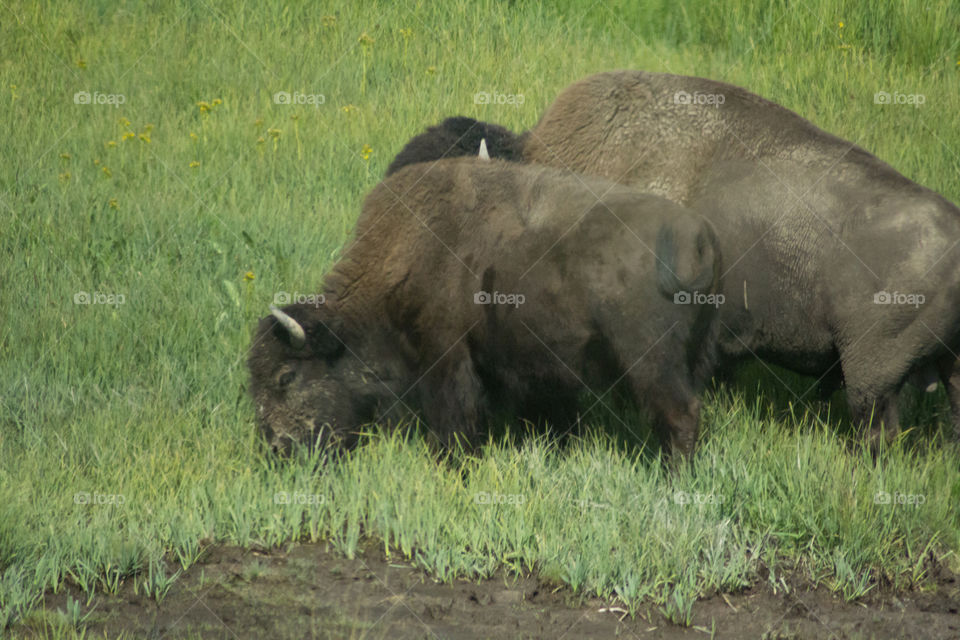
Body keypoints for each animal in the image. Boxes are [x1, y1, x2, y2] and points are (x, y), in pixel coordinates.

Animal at [249, 157, 721, 456]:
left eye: (286, 376)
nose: (277, 448)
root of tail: (699, 235)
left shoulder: (446, 356)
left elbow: (455, 415)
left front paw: (454, 462)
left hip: (651, 360)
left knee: (680, 413)